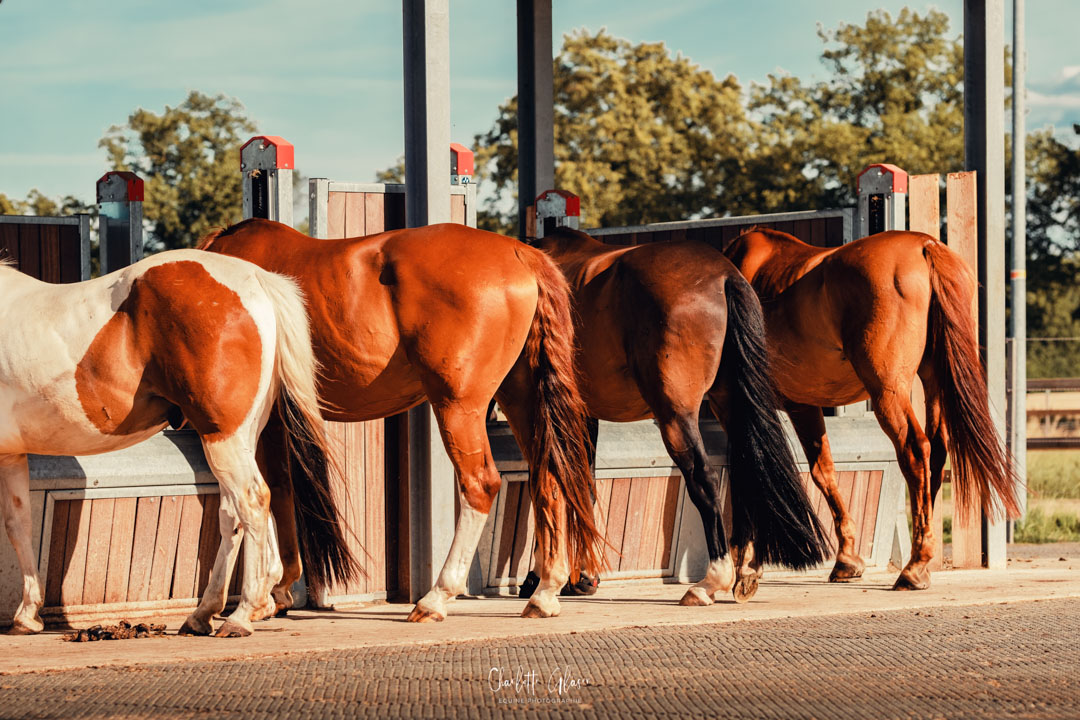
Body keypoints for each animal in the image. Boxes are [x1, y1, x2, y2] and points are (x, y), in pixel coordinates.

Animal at [0, 249, 334, 634]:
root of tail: (256, 279)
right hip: (240, 438)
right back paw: (204, 612)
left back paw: (240, 615)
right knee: (231, 513)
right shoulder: (11, 455)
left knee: (251, 502)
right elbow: (18, 524)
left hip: (223, 437)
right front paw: (28, 614)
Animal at [200, 216, 609, 621]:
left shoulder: (250, 421)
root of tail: (520, 253)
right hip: (520, 398)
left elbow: (257, 497)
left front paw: (249, 597)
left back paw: (437, 596)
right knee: (548, 477)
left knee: (481, 485)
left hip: (459, 406)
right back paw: (545, 592)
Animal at [535, 227, 829, 604]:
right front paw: (582, 577)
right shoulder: (585, 414)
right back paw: (745, 570)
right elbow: (584, 483)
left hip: (676, 414)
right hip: (729, 405)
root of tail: (724, 276)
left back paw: (711, 581)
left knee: (703, 477)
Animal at [725, 226, 1019, 591]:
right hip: (933, 381)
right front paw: (847, 558)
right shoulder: (804, 404)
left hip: (888, 393)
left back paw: (915, 565)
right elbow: (823, 471)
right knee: (936, 454)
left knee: (915, 450)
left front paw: (747, 562)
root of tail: (925, 245)